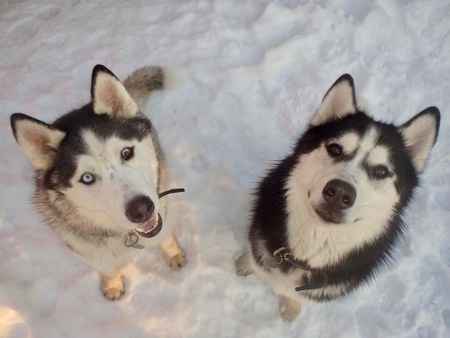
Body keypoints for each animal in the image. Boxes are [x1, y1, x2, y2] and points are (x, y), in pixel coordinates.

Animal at [11, 64, 186, 300]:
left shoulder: (162, 212)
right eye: (87, 177)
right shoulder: (88, 251)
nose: (141, 209)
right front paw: (112, 284)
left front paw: (174, 254)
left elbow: (166, 238)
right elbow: (108, 269)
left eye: (126, 152)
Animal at [236, 74, 440, 322]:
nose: (340, 193)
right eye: (335, 148)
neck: (303, 258)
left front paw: (290, 306)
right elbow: (255, 256)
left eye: (381, 171)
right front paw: (245, 263)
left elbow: (293, 297)